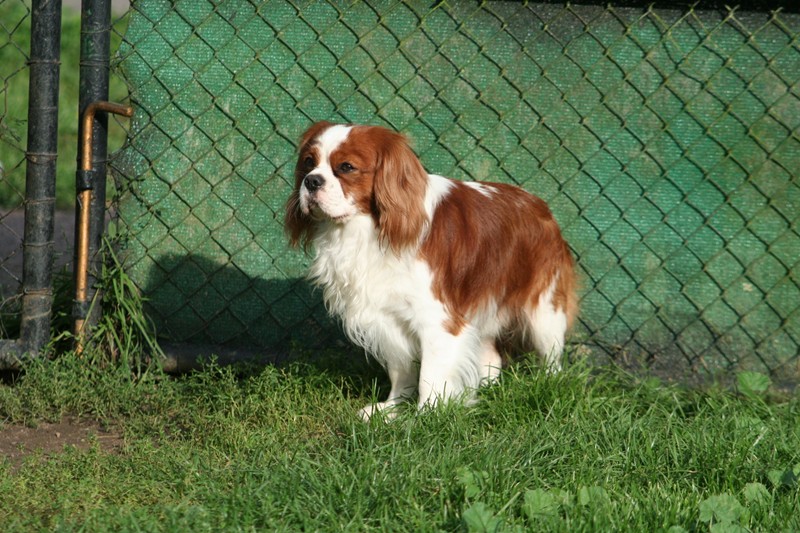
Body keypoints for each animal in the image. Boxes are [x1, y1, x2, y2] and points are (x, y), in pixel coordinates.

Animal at [284, 121, 580, 420]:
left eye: (346, 167)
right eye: (308, 163)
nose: (312, 181)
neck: (367, 229)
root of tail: (541, 207)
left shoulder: (438, 321)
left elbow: (430, 374)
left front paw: (424, 417)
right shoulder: (388, 318)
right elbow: (400, 370)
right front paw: (391, 409)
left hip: (544, 311)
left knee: (551, 358)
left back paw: (549, 387)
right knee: (492, 358)